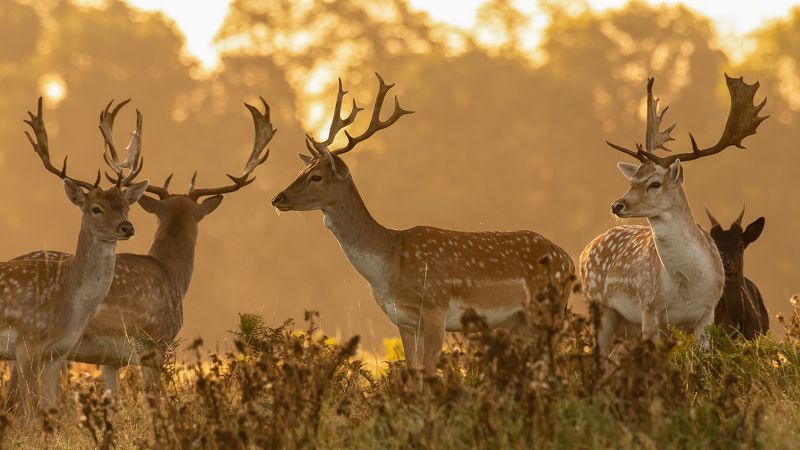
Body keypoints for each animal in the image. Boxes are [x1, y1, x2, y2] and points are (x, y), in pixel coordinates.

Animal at [0, 98, 148, 415]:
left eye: (126, 206)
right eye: (96, 208)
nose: (127, 227)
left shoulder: (58, 352)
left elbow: (50, 407)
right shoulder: (26, 344)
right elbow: (25, 412)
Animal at [271, 73, 575, 374]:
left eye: (317, 176)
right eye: (302, 170)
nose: (277, 197)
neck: (390, 264)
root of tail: (568, 260)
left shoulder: (435, 308)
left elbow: (428, 370)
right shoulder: (403, 321)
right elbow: (413, 372)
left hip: (548, 311)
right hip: (520, 321)